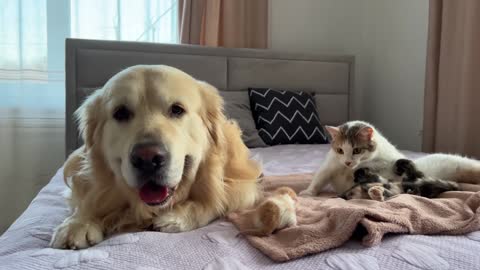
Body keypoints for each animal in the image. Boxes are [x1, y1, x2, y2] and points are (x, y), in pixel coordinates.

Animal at [50, 65, 260, 249]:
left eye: (177, 109)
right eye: (121, 113)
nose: (147, 159)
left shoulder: (242, 187)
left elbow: (216, 201)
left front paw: (178, 217)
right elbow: (86, 199)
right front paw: (78, 222)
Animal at [300, 121, 480, 197]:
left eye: (357, 150)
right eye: (340, 150)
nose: (348, 162)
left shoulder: (387, 164)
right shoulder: (330, 165)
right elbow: (319, 179)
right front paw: (308, 192)